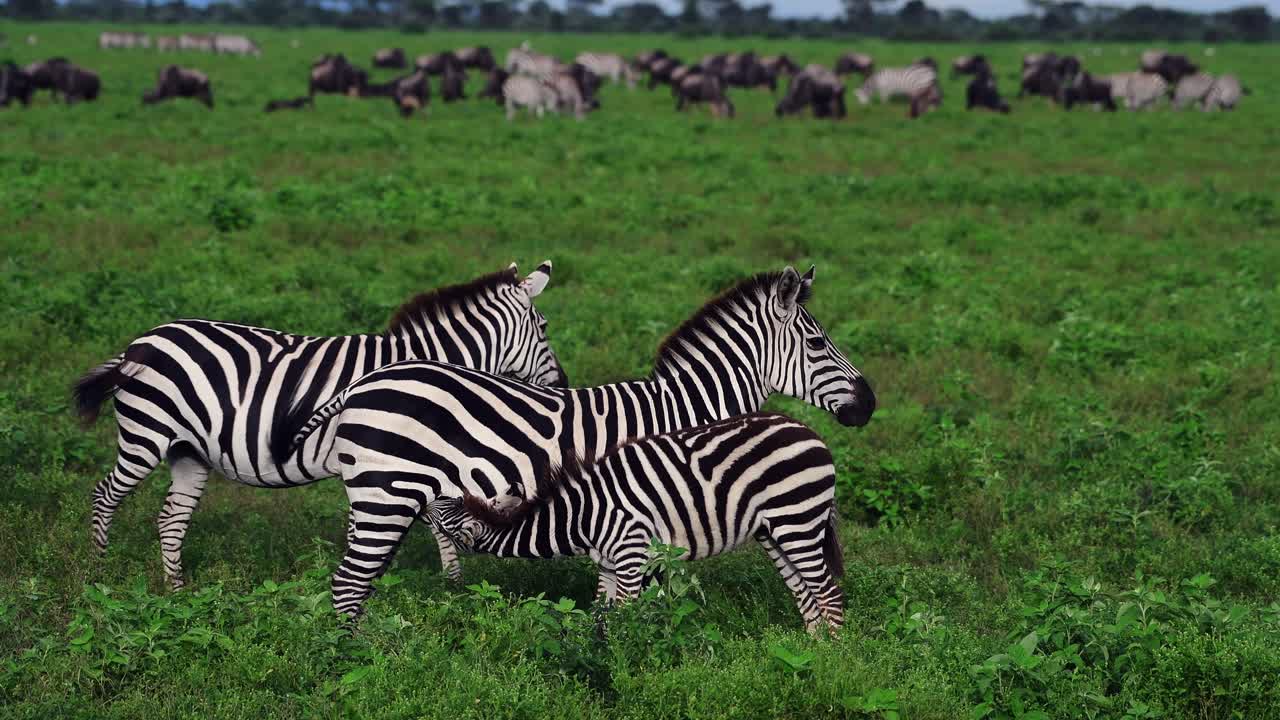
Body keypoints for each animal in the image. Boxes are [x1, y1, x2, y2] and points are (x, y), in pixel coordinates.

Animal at [73, 264, 567, 591]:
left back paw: (175, 591)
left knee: (171, 517)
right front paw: (442, 588)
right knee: (104, 497)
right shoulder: (396, 464)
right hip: (146, 435)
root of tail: (139, 343)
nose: (564, 383)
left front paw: (445, 587)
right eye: (544, 327)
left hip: (187, 451)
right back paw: (96, 574)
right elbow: (425, 526)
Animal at [428, 413, 845, 634]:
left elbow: (626, 616)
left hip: (798, 521)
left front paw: (627, 660)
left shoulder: (631, 556)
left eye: (444, 512)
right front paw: (593, 652)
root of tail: (809, 431)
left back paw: (833, 660)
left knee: (827, 590)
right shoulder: (608, 564)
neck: (581, 515)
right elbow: (600, 614)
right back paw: (811, 648)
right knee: (804, 590)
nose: (427, 490)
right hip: (774, 532)